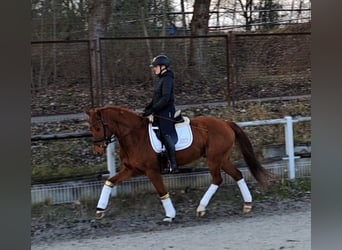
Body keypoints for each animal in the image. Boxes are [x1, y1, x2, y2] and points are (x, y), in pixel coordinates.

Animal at [87, 104, 274, 222]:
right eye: (91, 128)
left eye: (97, 128)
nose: (96, 152)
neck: (134, 135)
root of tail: (225, 123)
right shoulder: (132, 170)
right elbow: (110, 181)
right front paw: (99, 210)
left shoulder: (151, 171)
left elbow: (162, 192)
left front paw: (170, 215)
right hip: (222, 158)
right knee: (237, 175)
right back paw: (247, 204)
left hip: (215, 159)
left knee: (217, 179)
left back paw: (201, 208)